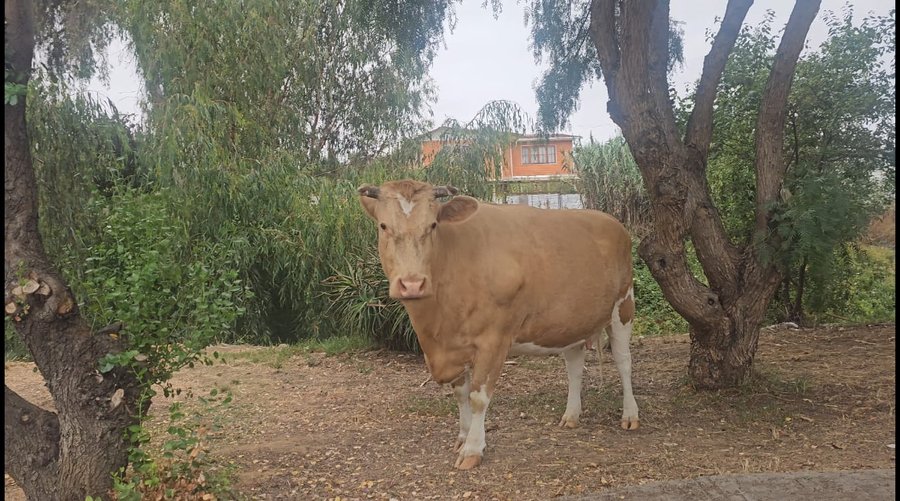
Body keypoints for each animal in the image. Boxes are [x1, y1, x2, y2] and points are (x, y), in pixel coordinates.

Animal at [357, 179, 639, 470]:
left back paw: (630, 415)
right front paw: (462, 437)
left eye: (433, 225)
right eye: (383, 226)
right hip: (571, 319)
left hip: (623, 306)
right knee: (575, 366)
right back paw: (571, 415)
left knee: (624, 362)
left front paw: (472, 449)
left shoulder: (494, 339)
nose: (412, 284)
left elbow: (478, 397)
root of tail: (610, 221)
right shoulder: (453, 346)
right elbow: (461, 394)